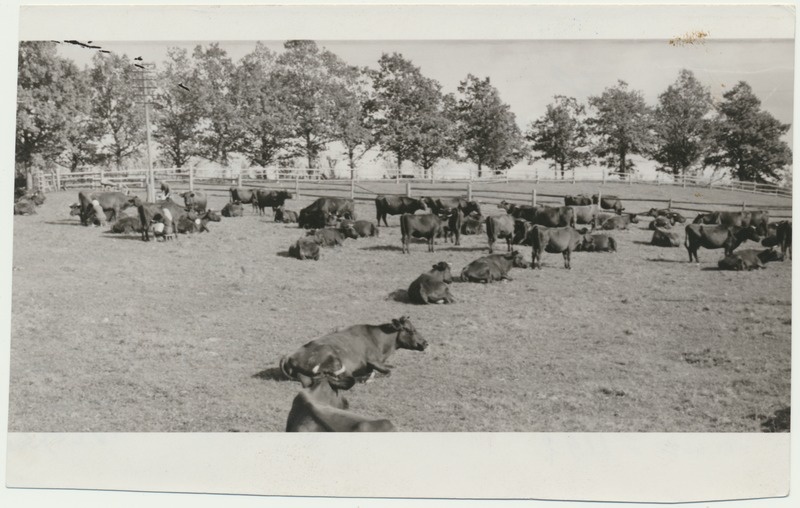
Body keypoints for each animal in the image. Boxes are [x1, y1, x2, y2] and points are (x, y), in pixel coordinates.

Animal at [280, 316, 428, 386]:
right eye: (411, 330)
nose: (425, 343)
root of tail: (288, 355)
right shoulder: (372, 360)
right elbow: (388, 372)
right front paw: (369, 378)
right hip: (333, 360)